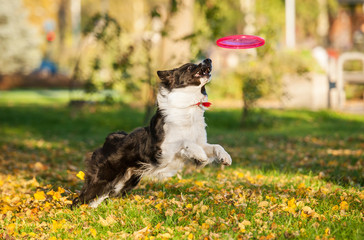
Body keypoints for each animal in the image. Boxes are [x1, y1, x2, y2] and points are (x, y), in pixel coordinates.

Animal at [72, 58, 232, 208]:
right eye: (189, 67)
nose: (208, 60)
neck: (187, 107)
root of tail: (110, 139)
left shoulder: (200, 142)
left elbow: (215, 146)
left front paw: (225, 157)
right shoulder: (162, 150)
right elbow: (184, 142)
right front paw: (200, 155)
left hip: (124, 183)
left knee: (100, 197)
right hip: (102, 178)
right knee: (79, 199)